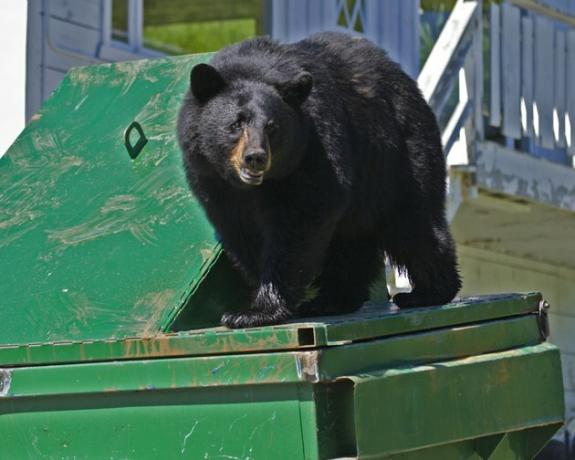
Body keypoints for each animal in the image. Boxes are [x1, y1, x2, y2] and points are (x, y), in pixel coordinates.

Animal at [178, 31, 462, 328]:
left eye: (272, 127)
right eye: (236, 124)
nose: (255, 157)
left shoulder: (315, 145)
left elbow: (303, 216)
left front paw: (255, 311)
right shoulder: (212, 180)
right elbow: (241, 230)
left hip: (400, 156)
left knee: (413, 223)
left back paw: (427, 292)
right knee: (352, 241)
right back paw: (335, 300)